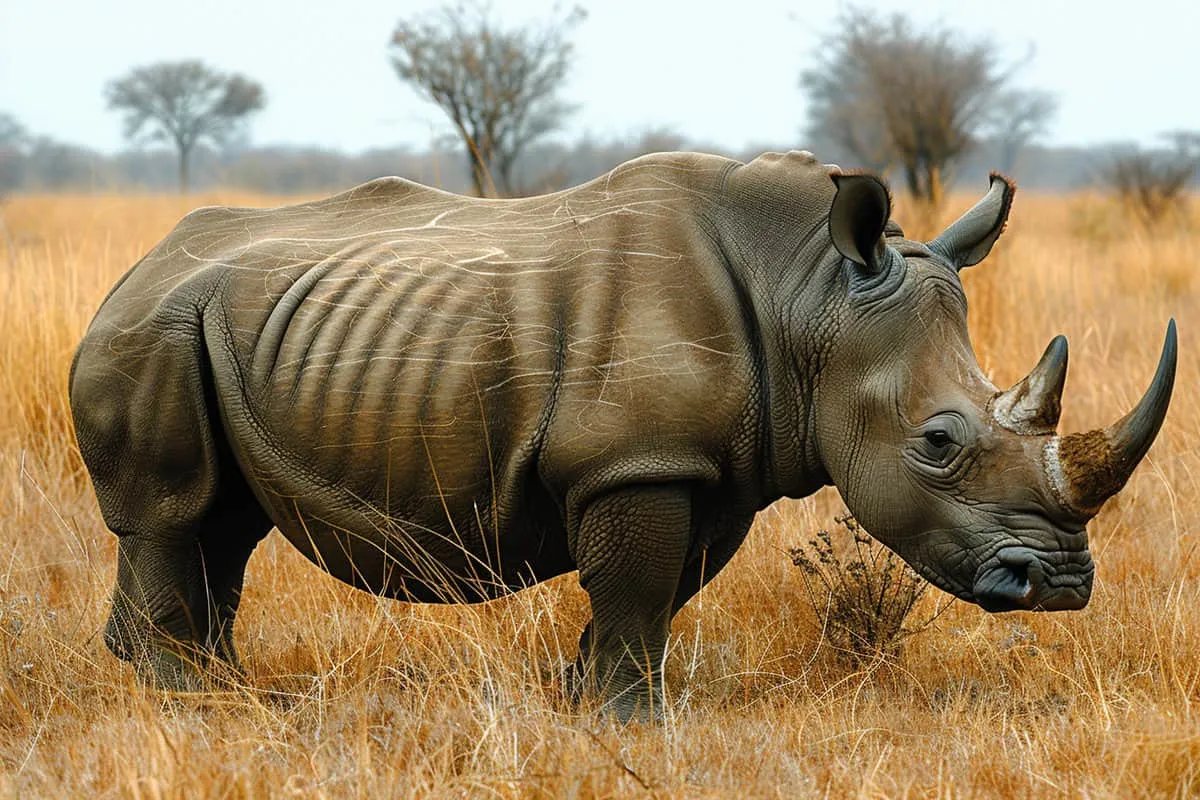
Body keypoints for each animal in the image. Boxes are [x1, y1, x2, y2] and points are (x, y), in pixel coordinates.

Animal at [70, 151, 1176, 719]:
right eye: (940, 441)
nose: (1061, 584)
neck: (810, 296)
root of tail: (133, 266)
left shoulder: (705, 467)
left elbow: (659, 592)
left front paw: (580, 700)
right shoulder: (634, 461)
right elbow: (639, 591)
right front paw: (630, 722)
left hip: (221, 327)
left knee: (222, 524)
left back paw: (228, 693)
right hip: (155, 329)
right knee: (175, 513)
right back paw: (207, 705)